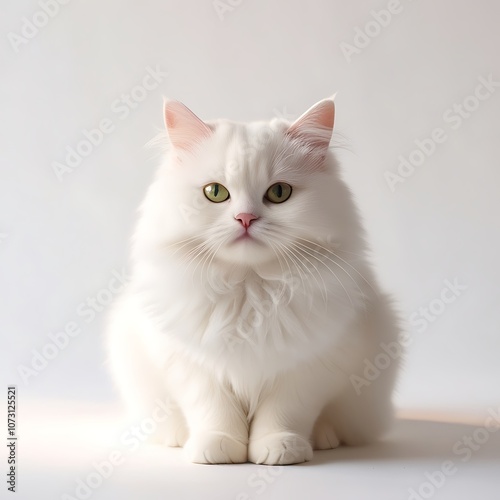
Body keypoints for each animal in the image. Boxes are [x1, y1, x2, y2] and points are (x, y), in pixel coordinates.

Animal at [107, 96, 400, 464]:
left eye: (279, 192)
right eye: (215, 192)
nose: (245, 218)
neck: (249, 288)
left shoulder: (308, 367)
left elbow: (283, 414)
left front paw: (280, 446)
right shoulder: (193, 364)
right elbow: (214, 411)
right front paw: (217, 446)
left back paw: (323, 438)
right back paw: (177, 438)